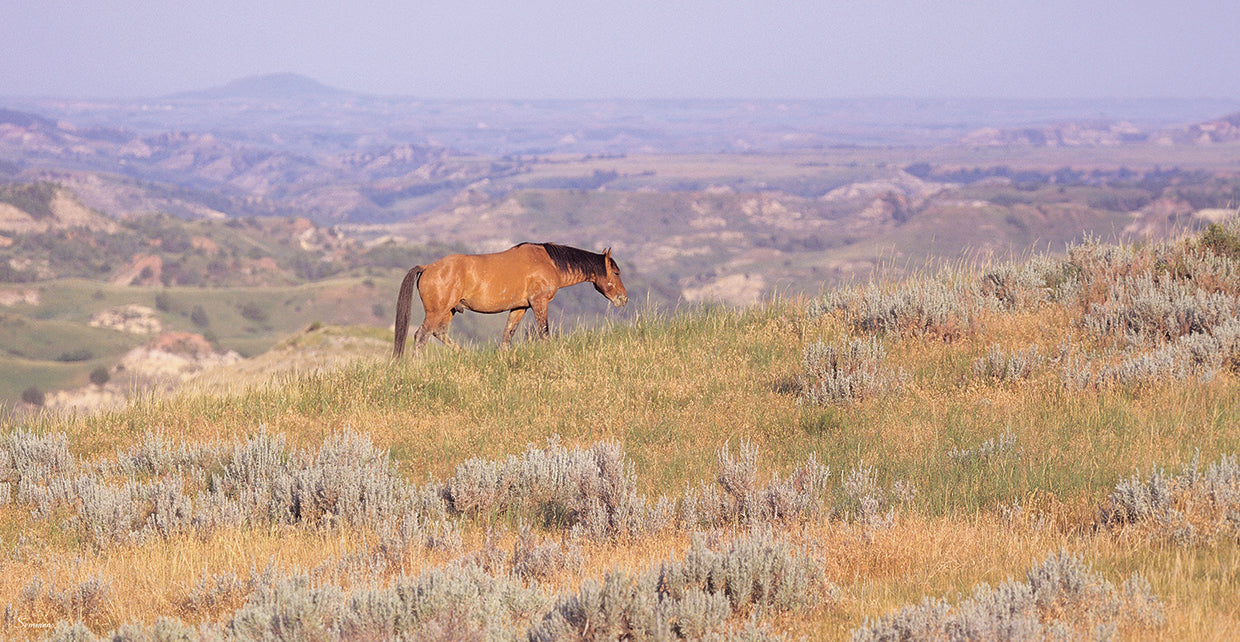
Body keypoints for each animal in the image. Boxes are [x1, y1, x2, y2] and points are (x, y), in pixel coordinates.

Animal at [393, 242, 629, 356]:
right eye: (616, 273)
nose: (623, 299)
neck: (549, 262)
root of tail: (427, 267)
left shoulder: (520, 308)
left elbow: (507, 336)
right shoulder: (539, 302)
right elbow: (544, 333)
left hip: (448, 311)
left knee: (439, 333)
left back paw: (465, 355)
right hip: (436, 311)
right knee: (421, 336)